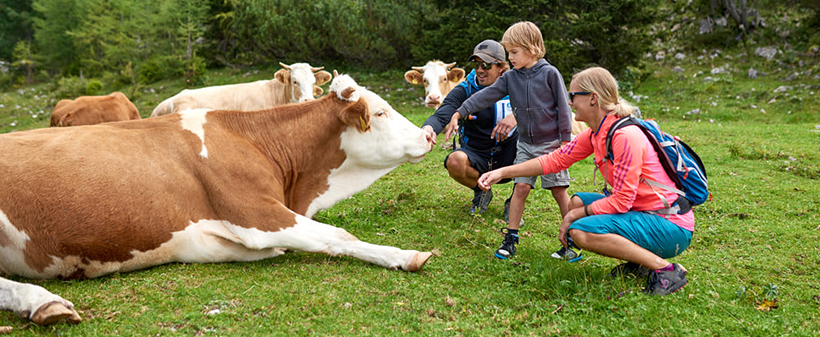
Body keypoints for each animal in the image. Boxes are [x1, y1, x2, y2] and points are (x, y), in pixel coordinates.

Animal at [0, 73, 436, 322]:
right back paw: (43, 301)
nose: (428, 135)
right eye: (380, 113)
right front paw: (405, 255)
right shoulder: (257, 214)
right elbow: (338, 235)